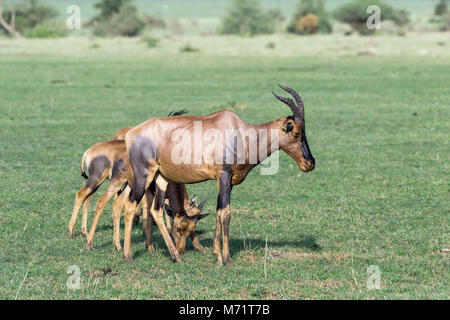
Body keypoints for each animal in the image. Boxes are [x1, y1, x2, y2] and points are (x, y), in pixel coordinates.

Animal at [121, 84, 314, 264]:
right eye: (296, 131)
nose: (310, 163)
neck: (240, 132)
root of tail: (131, 133)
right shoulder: (224, 176)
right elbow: (226, 214)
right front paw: (226, 259)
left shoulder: (228, 181)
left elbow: (219, 210)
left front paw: (216, 253)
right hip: (144, 176)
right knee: (130, 205)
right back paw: (128, 255)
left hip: (161, 178)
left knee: (156, 210)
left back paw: (177, 257)